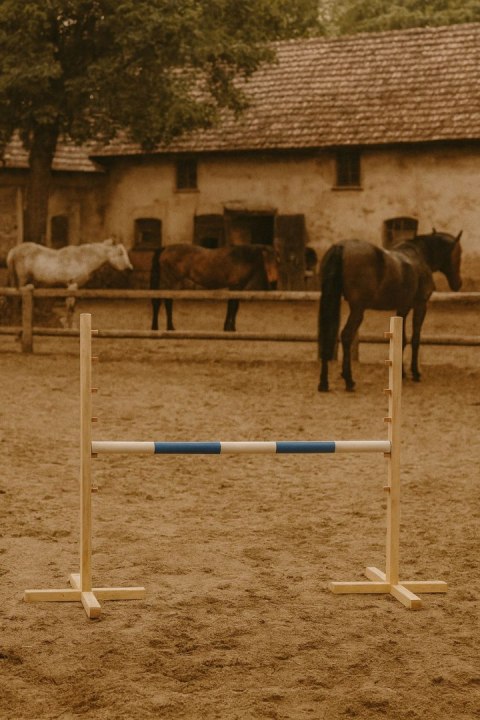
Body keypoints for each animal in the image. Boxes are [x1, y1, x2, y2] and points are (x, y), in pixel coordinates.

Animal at [318, 229, 463, 392]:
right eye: (459, 253)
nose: (458, 284)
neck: (419, 255)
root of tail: (341, 247)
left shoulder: (403, 308)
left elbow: (402, 340)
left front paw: (402, 373)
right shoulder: (420, 305)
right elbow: (415, 339)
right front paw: (415, 373)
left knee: (326, 336)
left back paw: (324, 383)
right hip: (357, 310)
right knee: (346, 336)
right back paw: (349, 380)